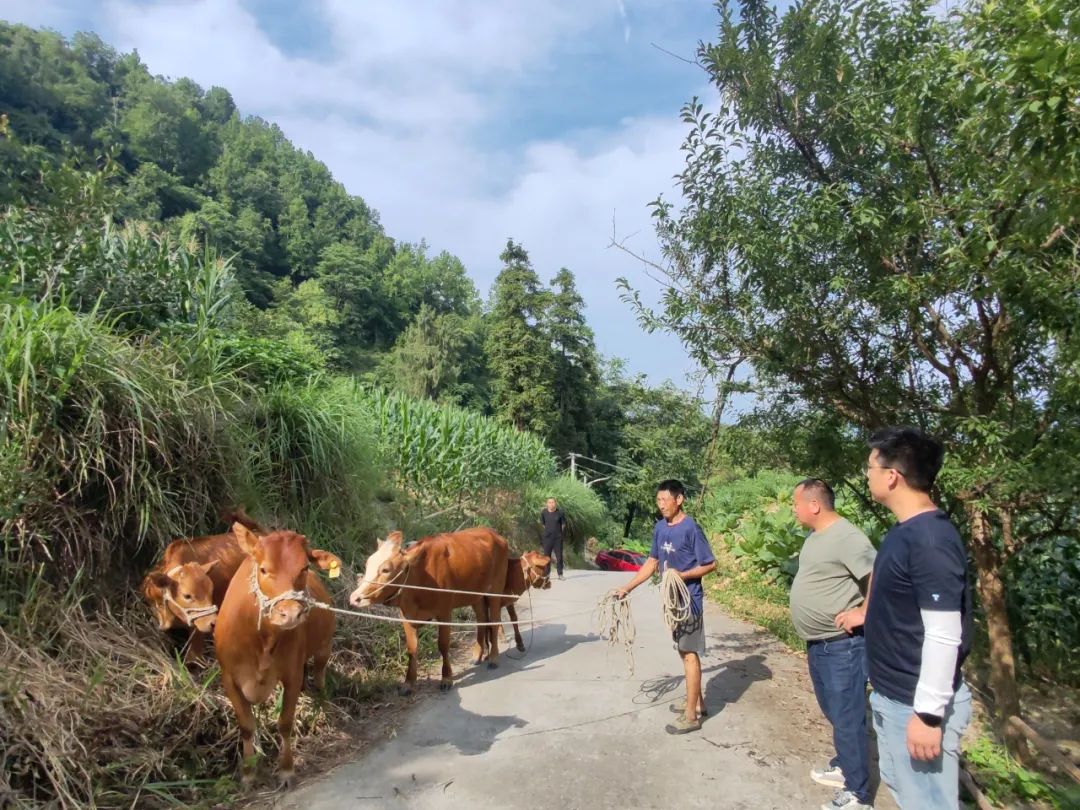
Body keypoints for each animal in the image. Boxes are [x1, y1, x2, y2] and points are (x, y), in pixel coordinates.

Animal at [213, 522, 339, 790]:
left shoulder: (291, 674)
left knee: (320, 673)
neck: (262, 639)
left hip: (324, 647)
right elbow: (246, 726)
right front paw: (248, 773)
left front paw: (286, 769)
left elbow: (285, 723)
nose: (290, 613)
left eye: (304, 567)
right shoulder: (229, 678)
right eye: (263, 569)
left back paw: (322, 699)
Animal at [349, 529, 509, 695]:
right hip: (475, 595)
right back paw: (477, 654)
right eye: (367, 565)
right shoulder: (407, 617)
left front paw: (446, 678)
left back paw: (493, 657)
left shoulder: (444, 613)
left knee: (495, 620)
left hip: (495, 589)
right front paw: (408, 683)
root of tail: (493, 533)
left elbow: (443, 645)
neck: (419, 579)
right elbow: (412, 649)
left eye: (386, 569)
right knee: (482, 619)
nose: (355, 598)